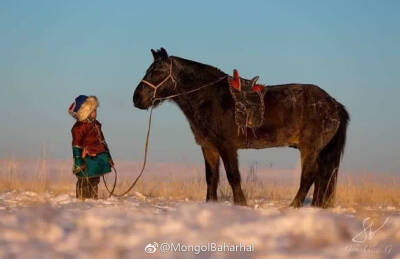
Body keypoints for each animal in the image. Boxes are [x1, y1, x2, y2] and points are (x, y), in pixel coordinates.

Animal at [133, 48, 348, 209]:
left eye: (158, 71)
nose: (137, 98)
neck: (210, 97)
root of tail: (334, 104)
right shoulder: (209, 147)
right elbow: (211, 177)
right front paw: (211, 204)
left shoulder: (227, 146)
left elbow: (232, 176)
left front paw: (241, 204)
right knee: (322, 177)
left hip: (310, 148)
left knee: (309, 175)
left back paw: (293, 206)